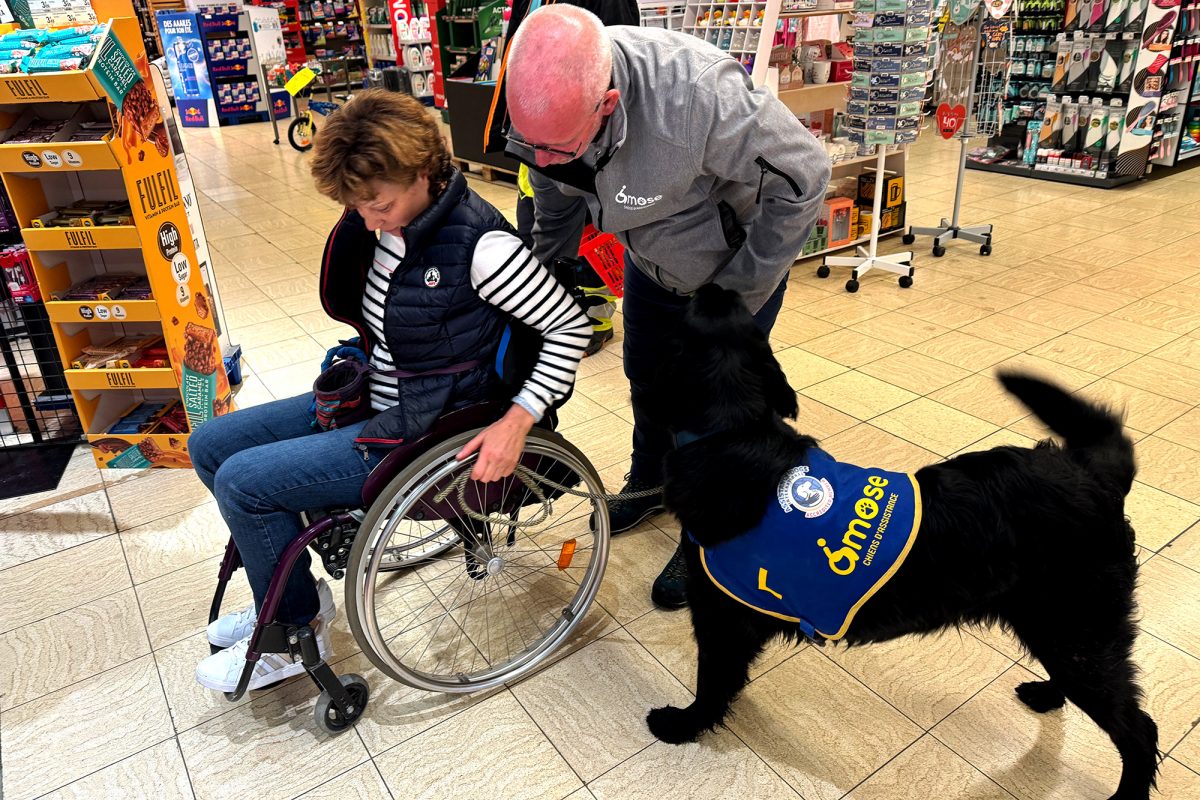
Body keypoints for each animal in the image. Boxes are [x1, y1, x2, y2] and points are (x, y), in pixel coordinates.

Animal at [652, 284, 1156, 796]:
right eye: (736, 314)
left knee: (1139, 730)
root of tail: (1094, 472)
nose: (718, 286)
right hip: (1056, 629)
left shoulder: (721, 619)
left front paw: (682, 725)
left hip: (1076, 630)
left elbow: (712, 684)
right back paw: (1046, 694)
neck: (732, 430)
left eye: (693, 311)